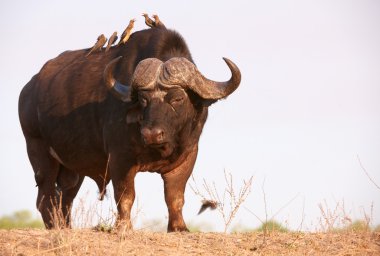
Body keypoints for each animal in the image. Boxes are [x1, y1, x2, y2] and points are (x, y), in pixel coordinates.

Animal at [17, 21, 240, 232]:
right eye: (143, 99)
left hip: (72, 168)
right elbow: (125, 196)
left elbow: (174, 196)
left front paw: (179, 227)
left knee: (64, 199)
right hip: (39, 152)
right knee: (45, 198)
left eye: (177, 98)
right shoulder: (119, 158)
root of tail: (28, 91)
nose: (151, 134)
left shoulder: (187, 157)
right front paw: (123, 226)